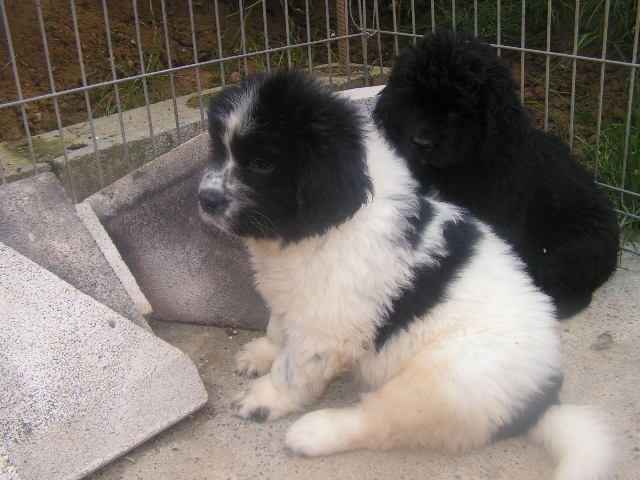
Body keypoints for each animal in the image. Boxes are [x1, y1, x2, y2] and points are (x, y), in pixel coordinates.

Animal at [198, 71, 612, 480]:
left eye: (261, 165)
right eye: (220, 151)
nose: (205, 199)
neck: (326, 226)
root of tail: (541, 400)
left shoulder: (327, 326)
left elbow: (294, 369)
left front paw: (264, 398)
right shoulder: (295, 296)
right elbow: (278, 326)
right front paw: (262, 352)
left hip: (439, 383)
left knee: (380, 420)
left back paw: (314, 433)